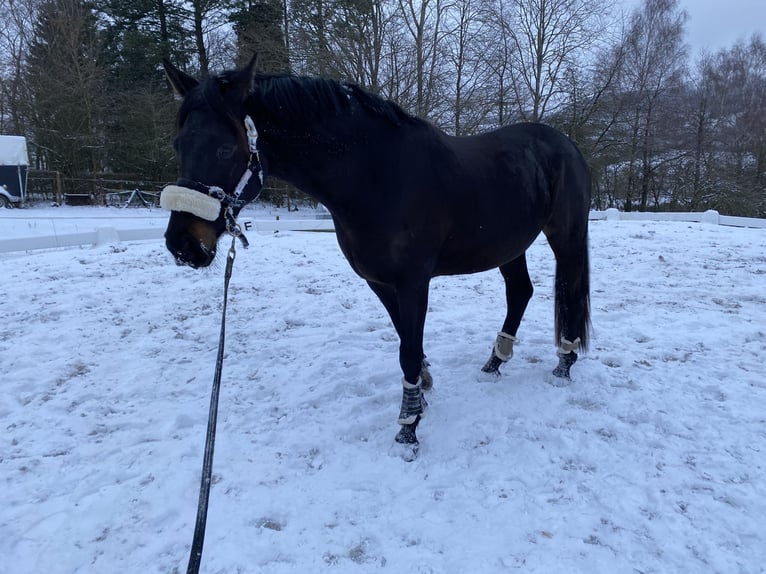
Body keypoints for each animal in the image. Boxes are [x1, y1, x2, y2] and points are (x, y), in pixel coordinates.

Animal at [160, 56, 591, 457]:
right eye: (179, 145)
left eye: (225, 147)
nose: (183, 245)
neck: (376, 176)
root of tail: (566, 144)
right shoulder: (380, 282)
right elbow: (406, 341)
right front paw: (423, 393)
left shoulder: (414, 283)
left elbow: (407, 351)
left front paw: (408, 430)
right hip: (508, 245)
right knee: (520, 292)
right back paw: (495, 363)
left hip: (565, 236)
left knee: (570, 289)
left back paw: (564, 364)